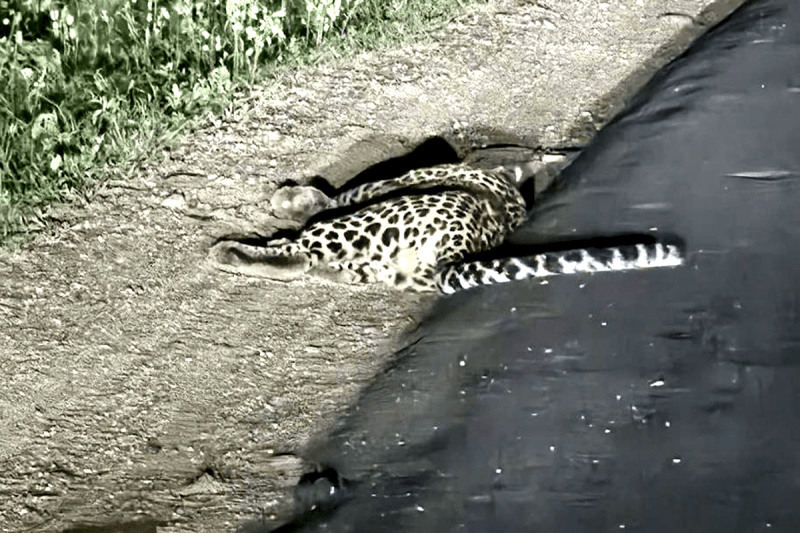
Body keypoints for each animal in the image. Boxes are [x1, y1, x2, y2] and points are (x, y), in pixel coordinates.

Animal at [210, 163, 684, 293]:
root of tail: (465, 242)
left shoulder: (379, 187)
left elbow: (333, 196)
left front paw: (288, 199)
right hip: (386, 263)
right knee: (318, 262)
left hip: (378, 218)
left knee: (302, 253)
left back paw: (228, 251)